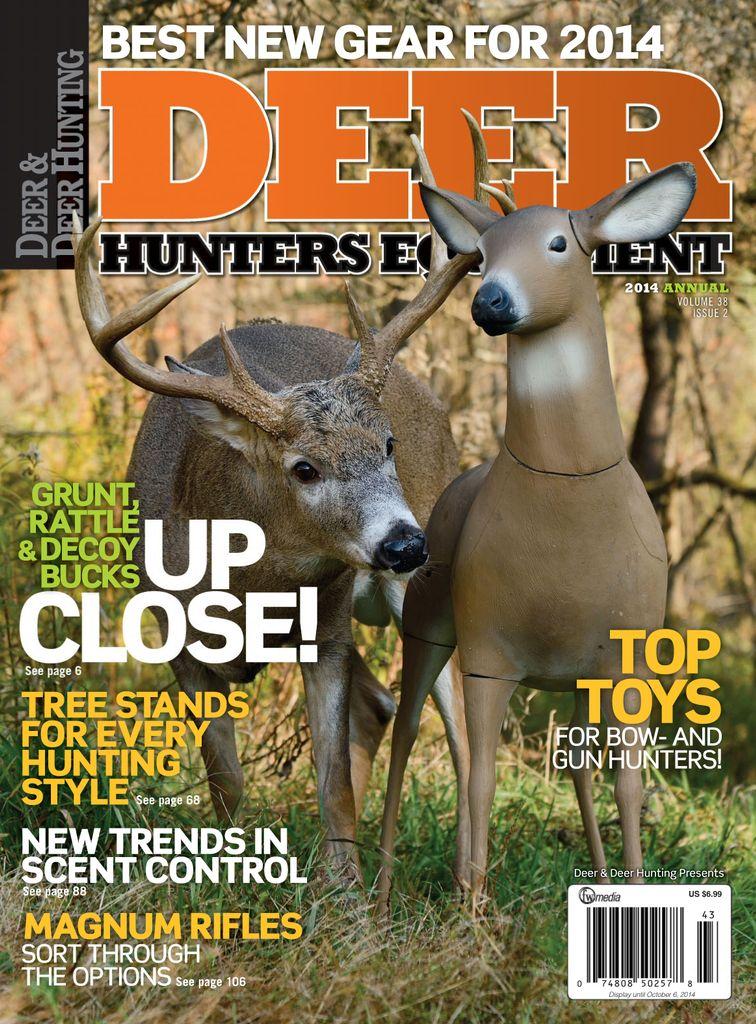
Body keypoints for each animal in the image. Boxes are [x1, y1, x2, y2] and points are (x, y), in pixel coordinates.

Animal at [69, 115, 499, 881]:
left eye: (387, 444)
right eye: (303, 467)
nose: (405, 542)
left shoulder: (323, 626)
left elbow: (333, 789)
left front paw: (347, 901)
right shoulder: (177, 638)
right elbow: (227, 779)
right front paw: (230, 875)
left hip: (417, 590)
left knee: (460, 731)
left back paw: (468, 893)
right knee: (379, 706)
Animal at [377, 158, 697, 907]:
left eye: (558, 244)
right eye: (482, 255)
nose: (491, 302)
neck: (568, 501)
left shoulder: (627, 657)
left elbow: (625, 788)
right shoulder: (490, 648)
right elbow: (484, 782)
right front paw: (473, 917)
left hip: (575, 677)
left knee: (568, 766)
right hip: (428, 622)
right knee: (409, 734)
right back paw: (382, 893)